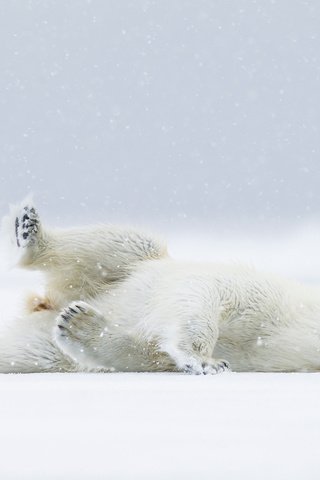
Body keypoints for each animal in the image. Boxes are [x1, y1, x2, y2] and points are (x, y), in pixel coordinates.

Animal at [0, 200, 320, 376]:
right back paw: (30, 231)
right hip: (122, 267)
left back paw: (78, 324)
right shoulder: (261, 296)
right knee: (122, 243)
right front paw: (205, 360)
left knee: (26, 350)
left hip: (44, 347)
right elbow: (202, 296)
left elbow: (149, 352)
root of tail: (44, 305)